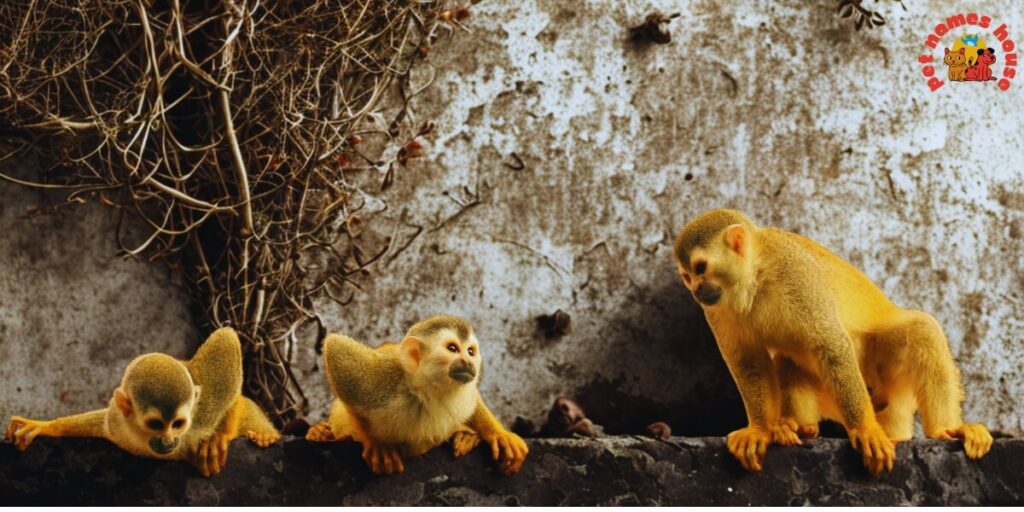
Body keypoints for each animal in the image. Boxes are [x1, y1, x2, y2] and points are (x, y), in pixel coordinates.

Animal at [5, 327, 281, 476]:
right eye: (156, 424)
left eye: (178, 424)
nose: (168, 441)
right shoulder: (117, 424)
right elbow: (98, 423)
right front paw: (47, 426)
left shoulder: (202, 416)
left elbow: (226, 347)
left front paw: (219, 437)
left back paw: (262, 434)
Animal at [305, 314, 528, 476]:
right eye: (453, 348)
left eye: (471, 352)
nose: (468, 362)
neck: (425, 391)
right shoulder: (384, 379)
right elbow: (336, 348)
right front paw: (376, 443)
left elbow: (473, 400)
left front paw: (498, 434)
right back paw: (321, 432)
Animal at [673, 209, 992, 476]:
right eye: (687, 277)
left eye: (700, 268)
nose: (696, 290)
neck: (754, 279)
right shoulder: (716, 309)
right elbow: (748, 362)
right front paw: (760, 429)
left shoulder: (794, 273)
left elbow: (830, 345)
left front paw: (864, 429)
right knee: (788, 358)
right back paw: (799, 428)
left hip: (884, 383)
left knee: (922, 329)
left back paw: (944, 431)